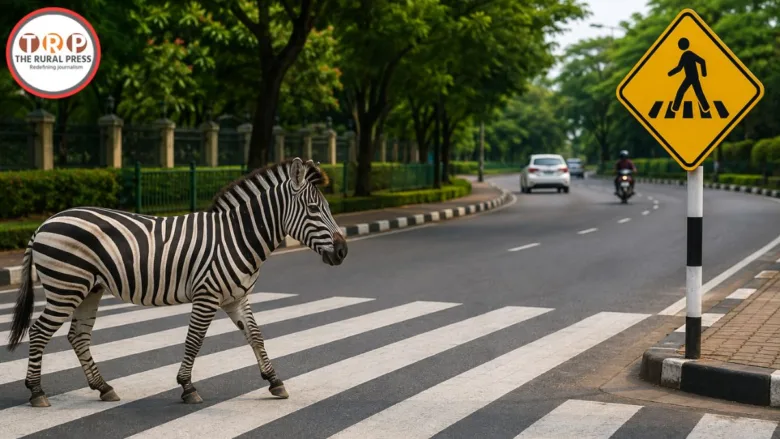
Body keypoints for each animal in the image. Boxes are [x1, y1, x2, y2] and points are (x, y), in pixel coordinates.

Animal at [6, 157, 349, 408]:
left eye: (329, 208)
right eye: (315, 209)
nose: (343, 251)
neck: (237, 237)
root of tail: (45, 223)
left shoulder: (236, 297)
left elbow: (256, 337)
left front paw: (275, 381)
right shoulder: (207, 295)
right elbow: (194, 341)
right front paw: (187, 387)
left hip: (90, 289)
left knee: (77, 336)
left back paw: (103, 388)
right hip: (66, 287)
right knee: (39, 332)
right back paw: (37, 392)